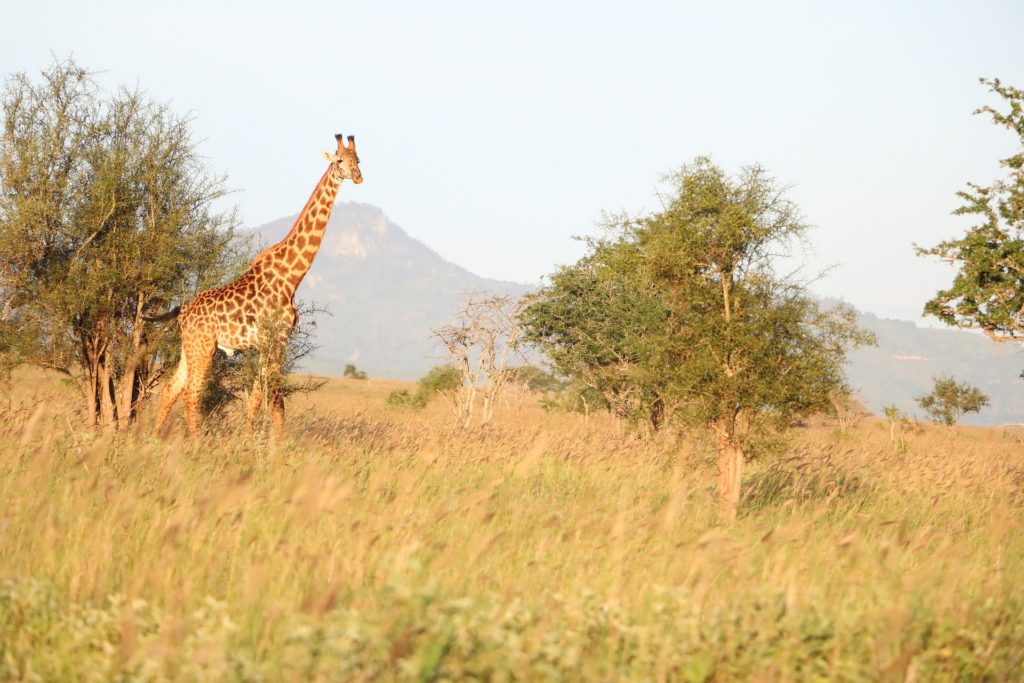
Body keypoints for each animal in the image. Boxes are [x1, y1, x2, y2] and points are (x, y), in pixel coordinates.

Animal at [147, 132, 364, 438]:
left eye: (359, 160)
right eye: (340, 161)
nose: (358, 177)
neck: (291, 276)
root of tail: (182, 311)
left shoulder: (267, 344)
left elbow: (258, 398)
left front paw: (252, 440)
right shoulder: (276, 338)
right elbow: (276, 400)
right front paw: (277, 445)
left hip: (189, 347)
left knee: (171, 388)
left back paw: (155, 438)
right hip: (203, 346)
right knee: (192, 392)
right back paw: (195, 441)